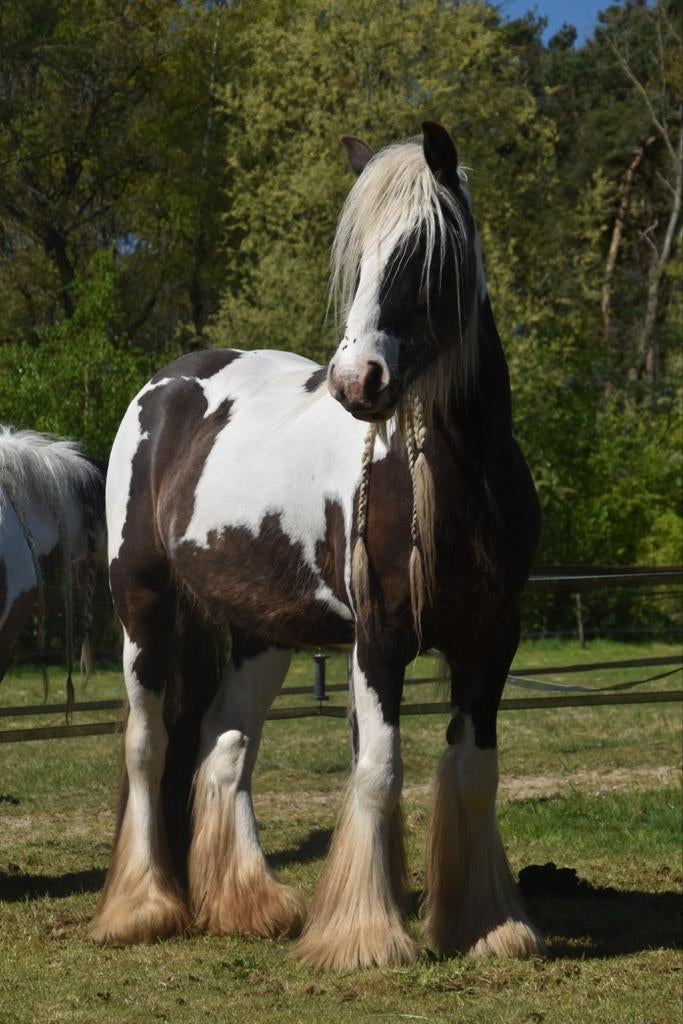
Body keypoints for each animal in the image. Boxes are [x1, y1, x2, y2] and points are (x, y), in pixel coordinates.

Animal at [90, 122, 544, 969]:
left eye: (425, 255)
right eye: (358, 259)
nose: (356, 382)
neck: (457, 480)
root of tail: (167, 385)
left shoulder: (492, 639)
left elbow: (472, 772)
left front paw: (485, 926)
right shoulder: (381, 638)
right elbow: (379, 769)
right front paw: (366, 937)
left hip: (262, 632)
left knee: (223, 745)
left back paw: (249, 906)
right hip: (144, 605)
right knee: (148, 744)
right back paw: (143, 909)